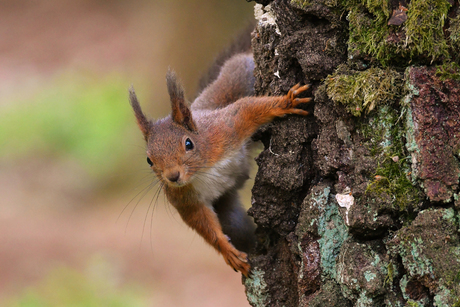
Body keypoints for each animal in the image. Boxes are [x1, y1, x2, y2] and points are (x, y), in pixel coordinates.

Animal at [127, 48, 310, 280]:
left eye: (188, 143)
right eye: (149, 160)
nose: (172, 177)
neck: (201, 170)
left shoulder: (225, 129)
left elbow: (246, 109)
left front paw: (286, 102)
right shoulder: (184, 200)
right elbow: (202, 223)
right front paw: (227, 251)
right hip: (228, 210)